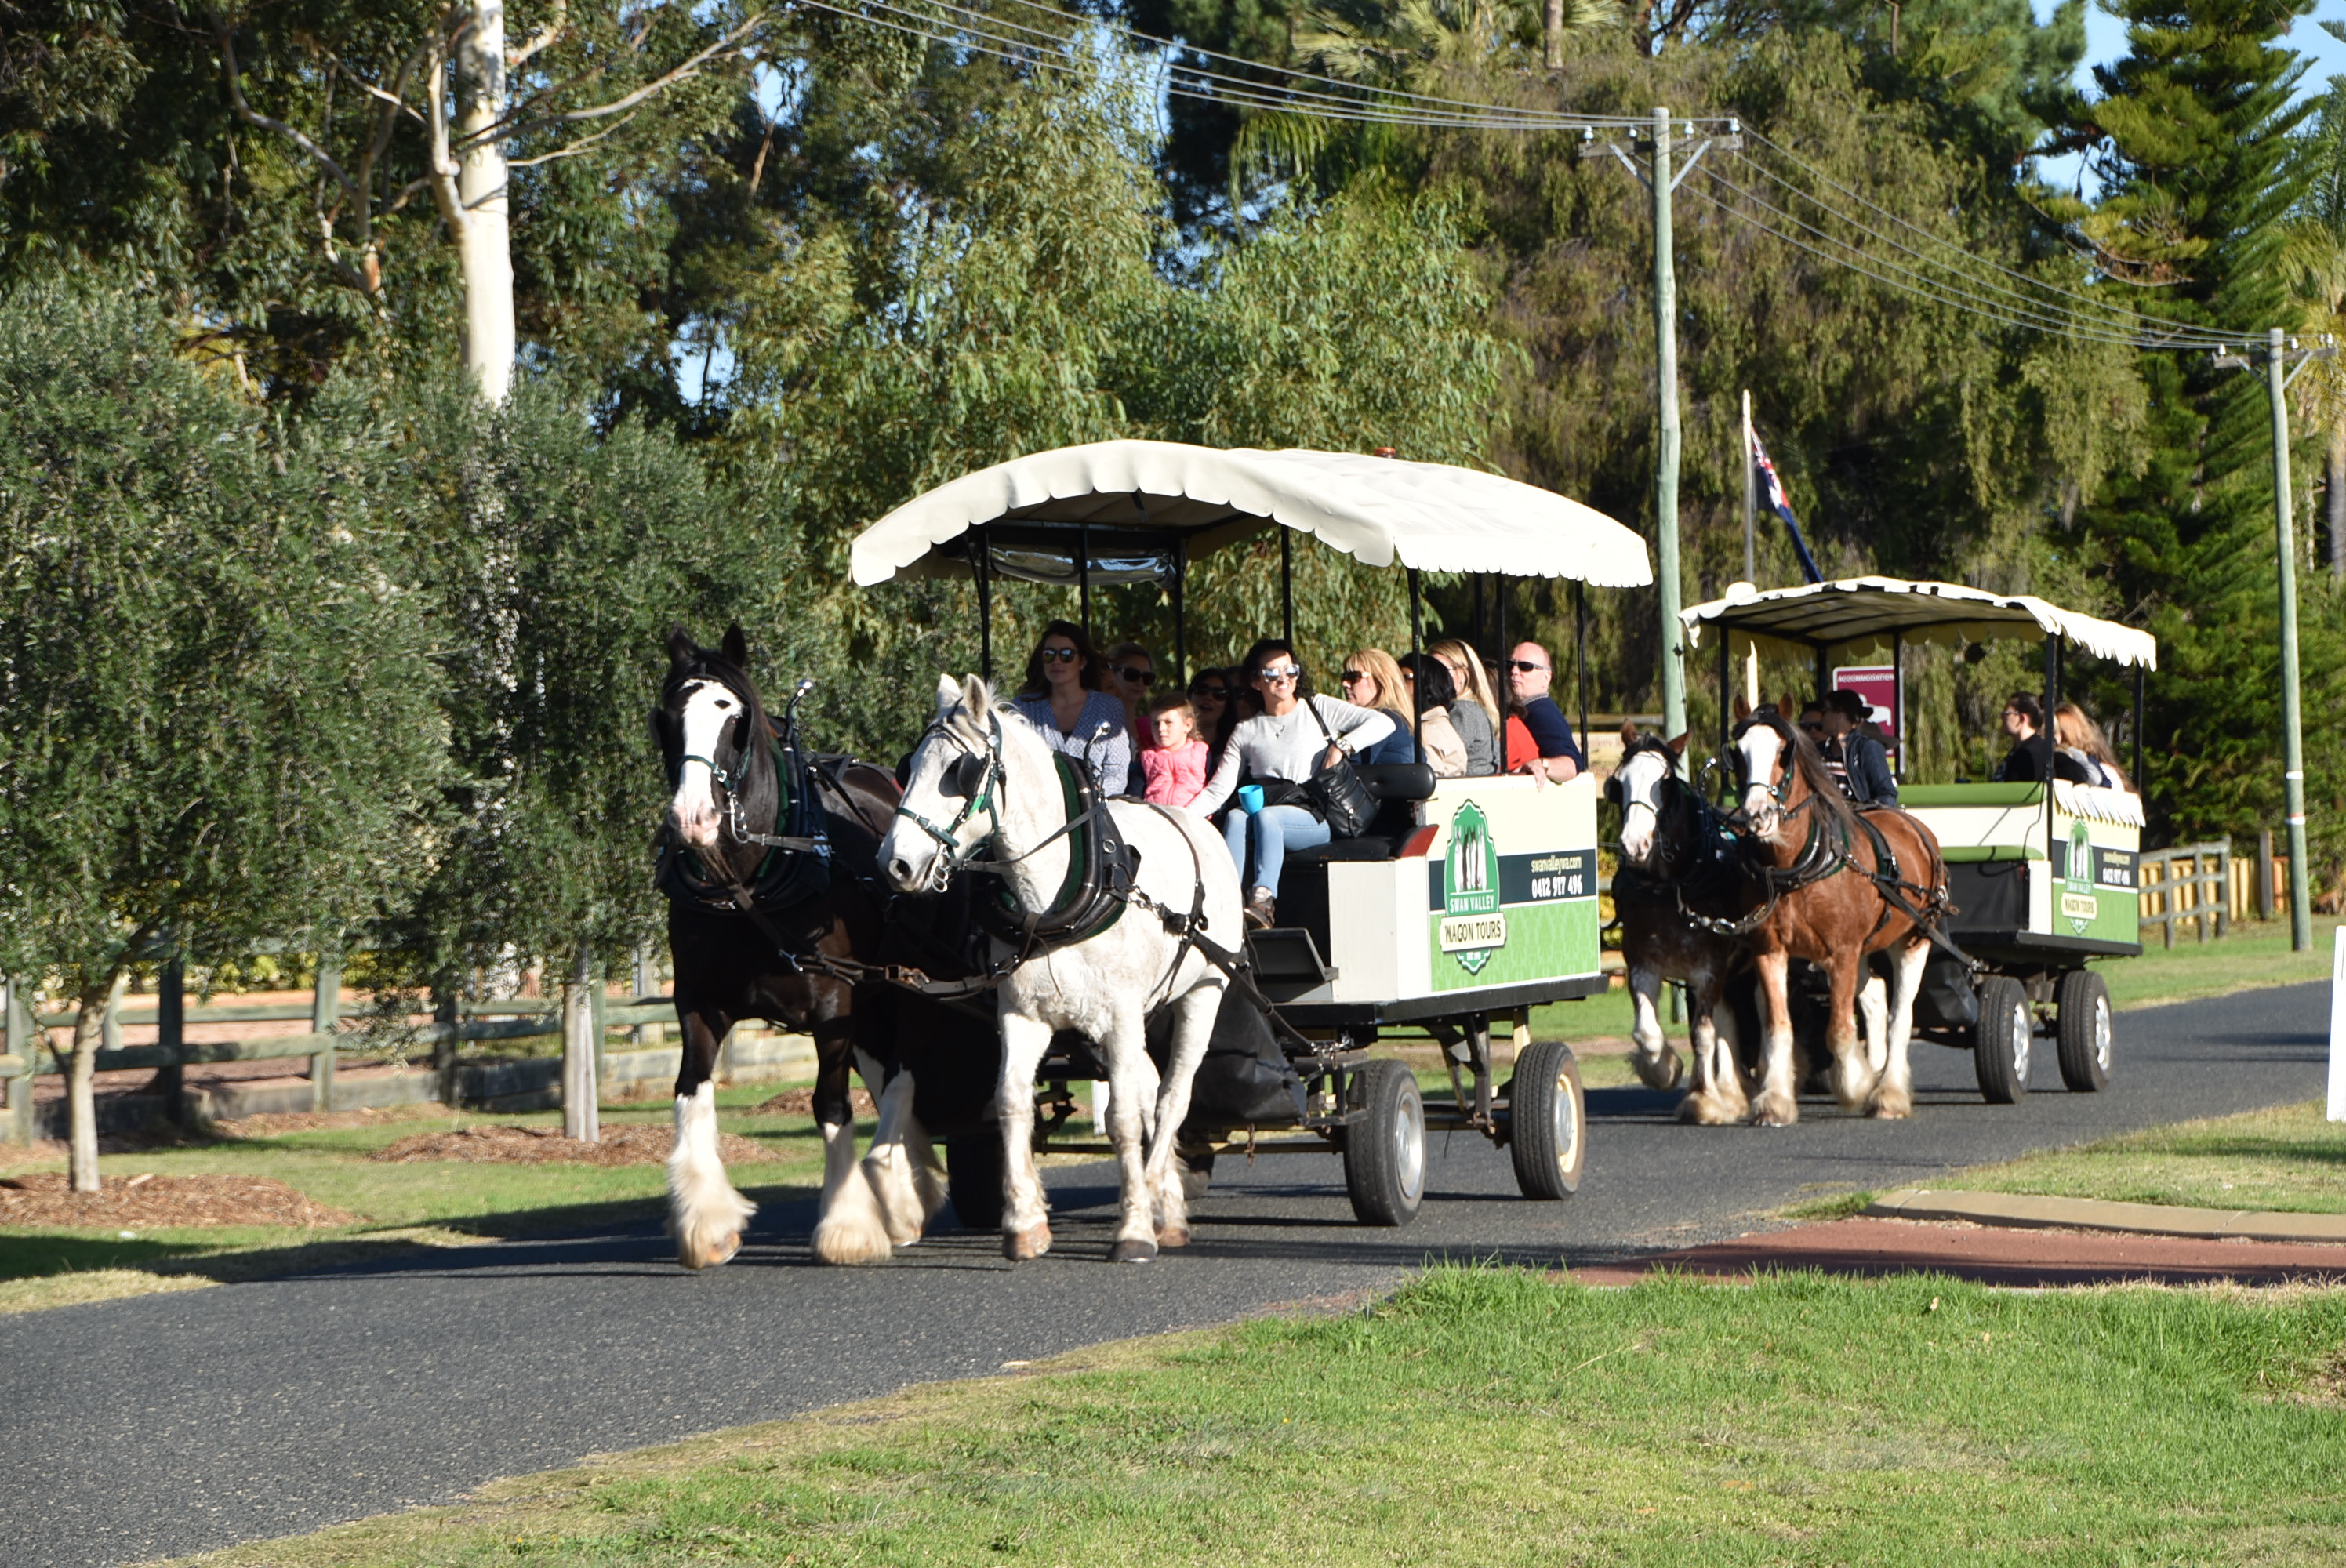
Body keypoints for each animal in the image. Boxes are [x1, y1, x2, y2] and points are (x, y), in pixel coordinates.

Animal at [654, 625, 992, 1269]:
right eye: (665, 718)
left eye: (733, 715)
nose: (693, 819)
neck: (752, 882)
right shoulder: (699, 1003)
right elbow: (690, 1094)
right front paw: (707, 1224)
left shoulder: (833, 1000)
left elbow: (832, 1106)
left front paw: (848, 1227)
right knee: (886, 1074)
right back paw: (908, 1189)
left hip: (909, 983)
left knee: (903, 1075)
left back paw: (897, 1195)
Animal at [876, 675, 1241, 1264]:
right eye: (910, 767)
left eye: (960, 771)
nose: (896, 864)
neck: (1055, 895)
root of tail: (1198, 826)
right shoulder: (1023, 1016)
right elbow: (1011, 1103)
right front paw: (1025, 1223)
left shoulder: (1121, 1015)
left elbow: (1122, 1118)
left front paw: (1134, 1227)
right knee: (1150, 1087)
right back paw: (1165, 1198)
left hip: (1202, 994)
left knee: (1172, 1098)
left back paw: (1158, 1198)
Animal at [1727, 712, 1948, 1124]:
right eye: (1738, 753)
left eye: (1783, 752)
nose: (1757, 815)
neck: (1799, 868)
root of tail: (1917, 829)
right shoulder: (1770, 951)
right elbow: (1778, 1026)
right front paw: (1775, 1100)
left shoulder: (1842, 953)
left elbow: (1839, 1029)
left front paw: (1854, 1086)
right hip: (1864, 947)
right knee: (1876, 997)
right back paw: (1876, 1069)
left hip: (1913, 940)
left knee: (1900, 1016)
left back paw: (1888, 1093)